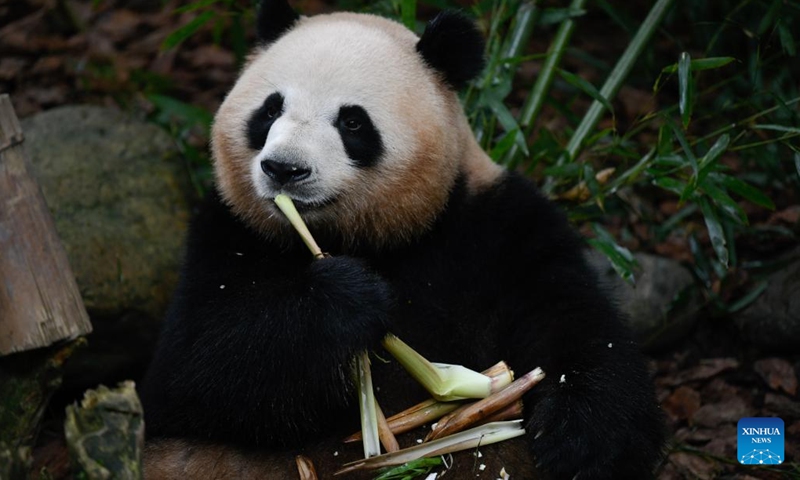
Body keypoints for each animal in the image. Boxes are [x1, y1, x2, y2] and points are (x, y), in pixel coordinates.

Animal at [140, 0, 666, 478]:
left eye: (352, 121)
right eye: (270, 110)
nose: (284, 169)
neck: (368, 237)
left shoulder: (493, 226)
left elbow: (575, 324)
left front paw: (580, 442)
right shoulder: (229, 231)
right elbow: (192, 372)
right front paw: (346, 297)